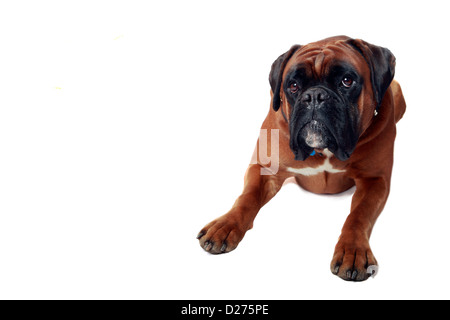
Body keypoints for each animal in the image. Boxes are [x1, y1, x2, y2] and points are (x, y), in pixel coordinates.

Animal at [196, 35, 404, 280]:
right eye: (293, 86)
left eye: (347, 81)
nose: (314, 96)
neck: (324, 150)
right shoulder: (264, 169)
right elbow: (246, 198)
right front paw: (225, 225)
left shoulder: (374, 180)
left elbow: (358, 215)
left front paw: (352, 250)